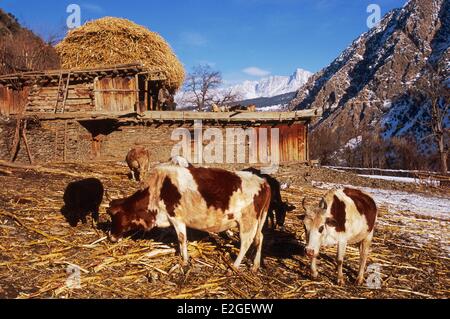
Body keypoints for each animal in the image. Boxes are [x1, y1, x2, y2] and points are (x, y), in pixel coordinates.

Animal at [108, 165, 270, 272]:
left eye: (114, 217)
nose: (110, 237)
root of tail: (263, 182)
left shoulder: (177, 218)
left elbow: (181, 239)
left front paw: (184, 260)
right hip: (257, 222)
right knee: (260, 238)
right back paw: (255, 266)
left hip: (247, 222)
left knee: (246, 242)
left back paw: (234, 266)